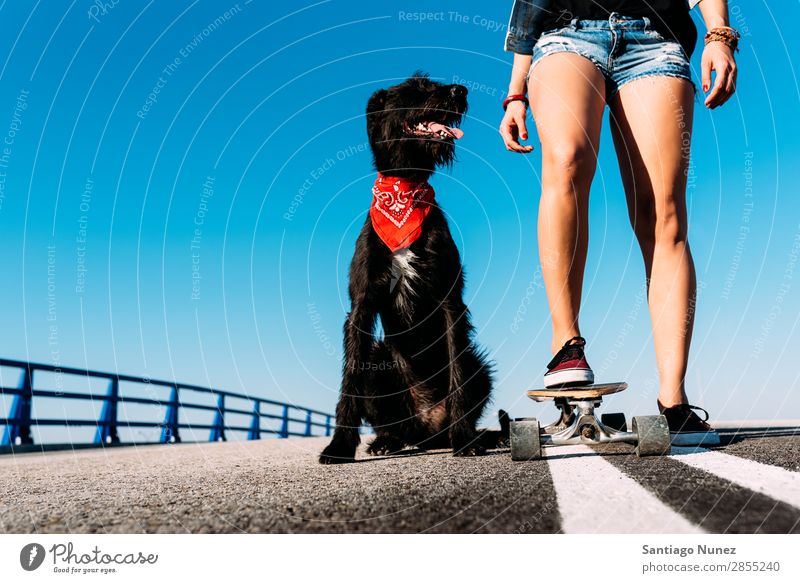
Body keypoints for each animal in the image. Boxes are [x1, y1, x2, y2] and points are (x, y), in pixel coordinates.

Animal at [318, 74, 506, 466]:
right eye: (414, 88)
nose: (460, 91)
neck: (404, 192)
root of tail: (428, 429)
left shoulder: (449, 300)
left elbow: (457, 374)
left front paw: (465, 440)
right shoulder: (361, 306)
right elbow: (350, 378)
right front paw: (339, 446)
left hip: (479, 366)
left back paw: (471, 435)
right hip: (380, 361)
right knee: (395, 425)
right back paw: (386, 441)